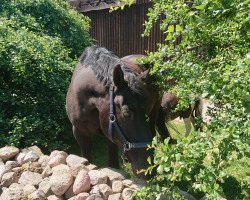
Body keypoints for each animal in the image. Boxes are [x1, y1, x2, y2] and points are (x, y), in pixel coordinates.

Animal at [66, 46, 160, 179]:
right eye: (127, 114)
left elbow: (113, 165)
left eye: (146, 110)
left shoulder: (111, 136)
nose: (148, 169)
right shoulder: (80, 132)